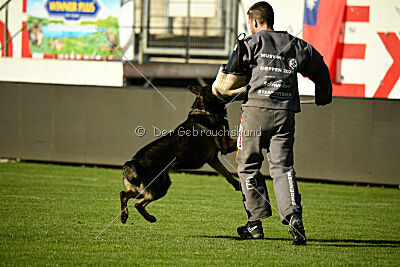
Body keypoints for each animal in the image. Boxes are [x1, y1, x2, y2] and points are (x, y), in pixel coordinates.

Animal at [120, 85, 239, 224]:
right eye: (215, 88)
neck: (205, 110)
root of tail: (133, 162)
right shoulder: (225, 146)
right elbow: (239, 139)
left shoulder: (213, 159)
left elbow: (227, 174)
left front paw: (237, 185)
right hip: (160, 187)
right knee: (138, 203)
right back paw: (148, 218)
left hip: (142, 189)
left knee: (124, 194)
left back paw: (125, 216)